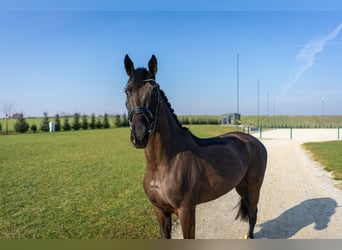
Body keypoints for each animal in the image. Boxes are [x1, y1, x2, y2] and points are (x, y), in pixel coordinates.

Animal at [123, 54, 268, 238]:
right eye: (127, 91)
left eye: (154, 91)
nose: (139, 135)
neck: (165, 163)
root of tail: (255, 142)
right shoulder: (160, 211)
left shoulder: (186, 211)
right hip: (241, 185)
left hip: (254, 185)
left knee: (253, 213)